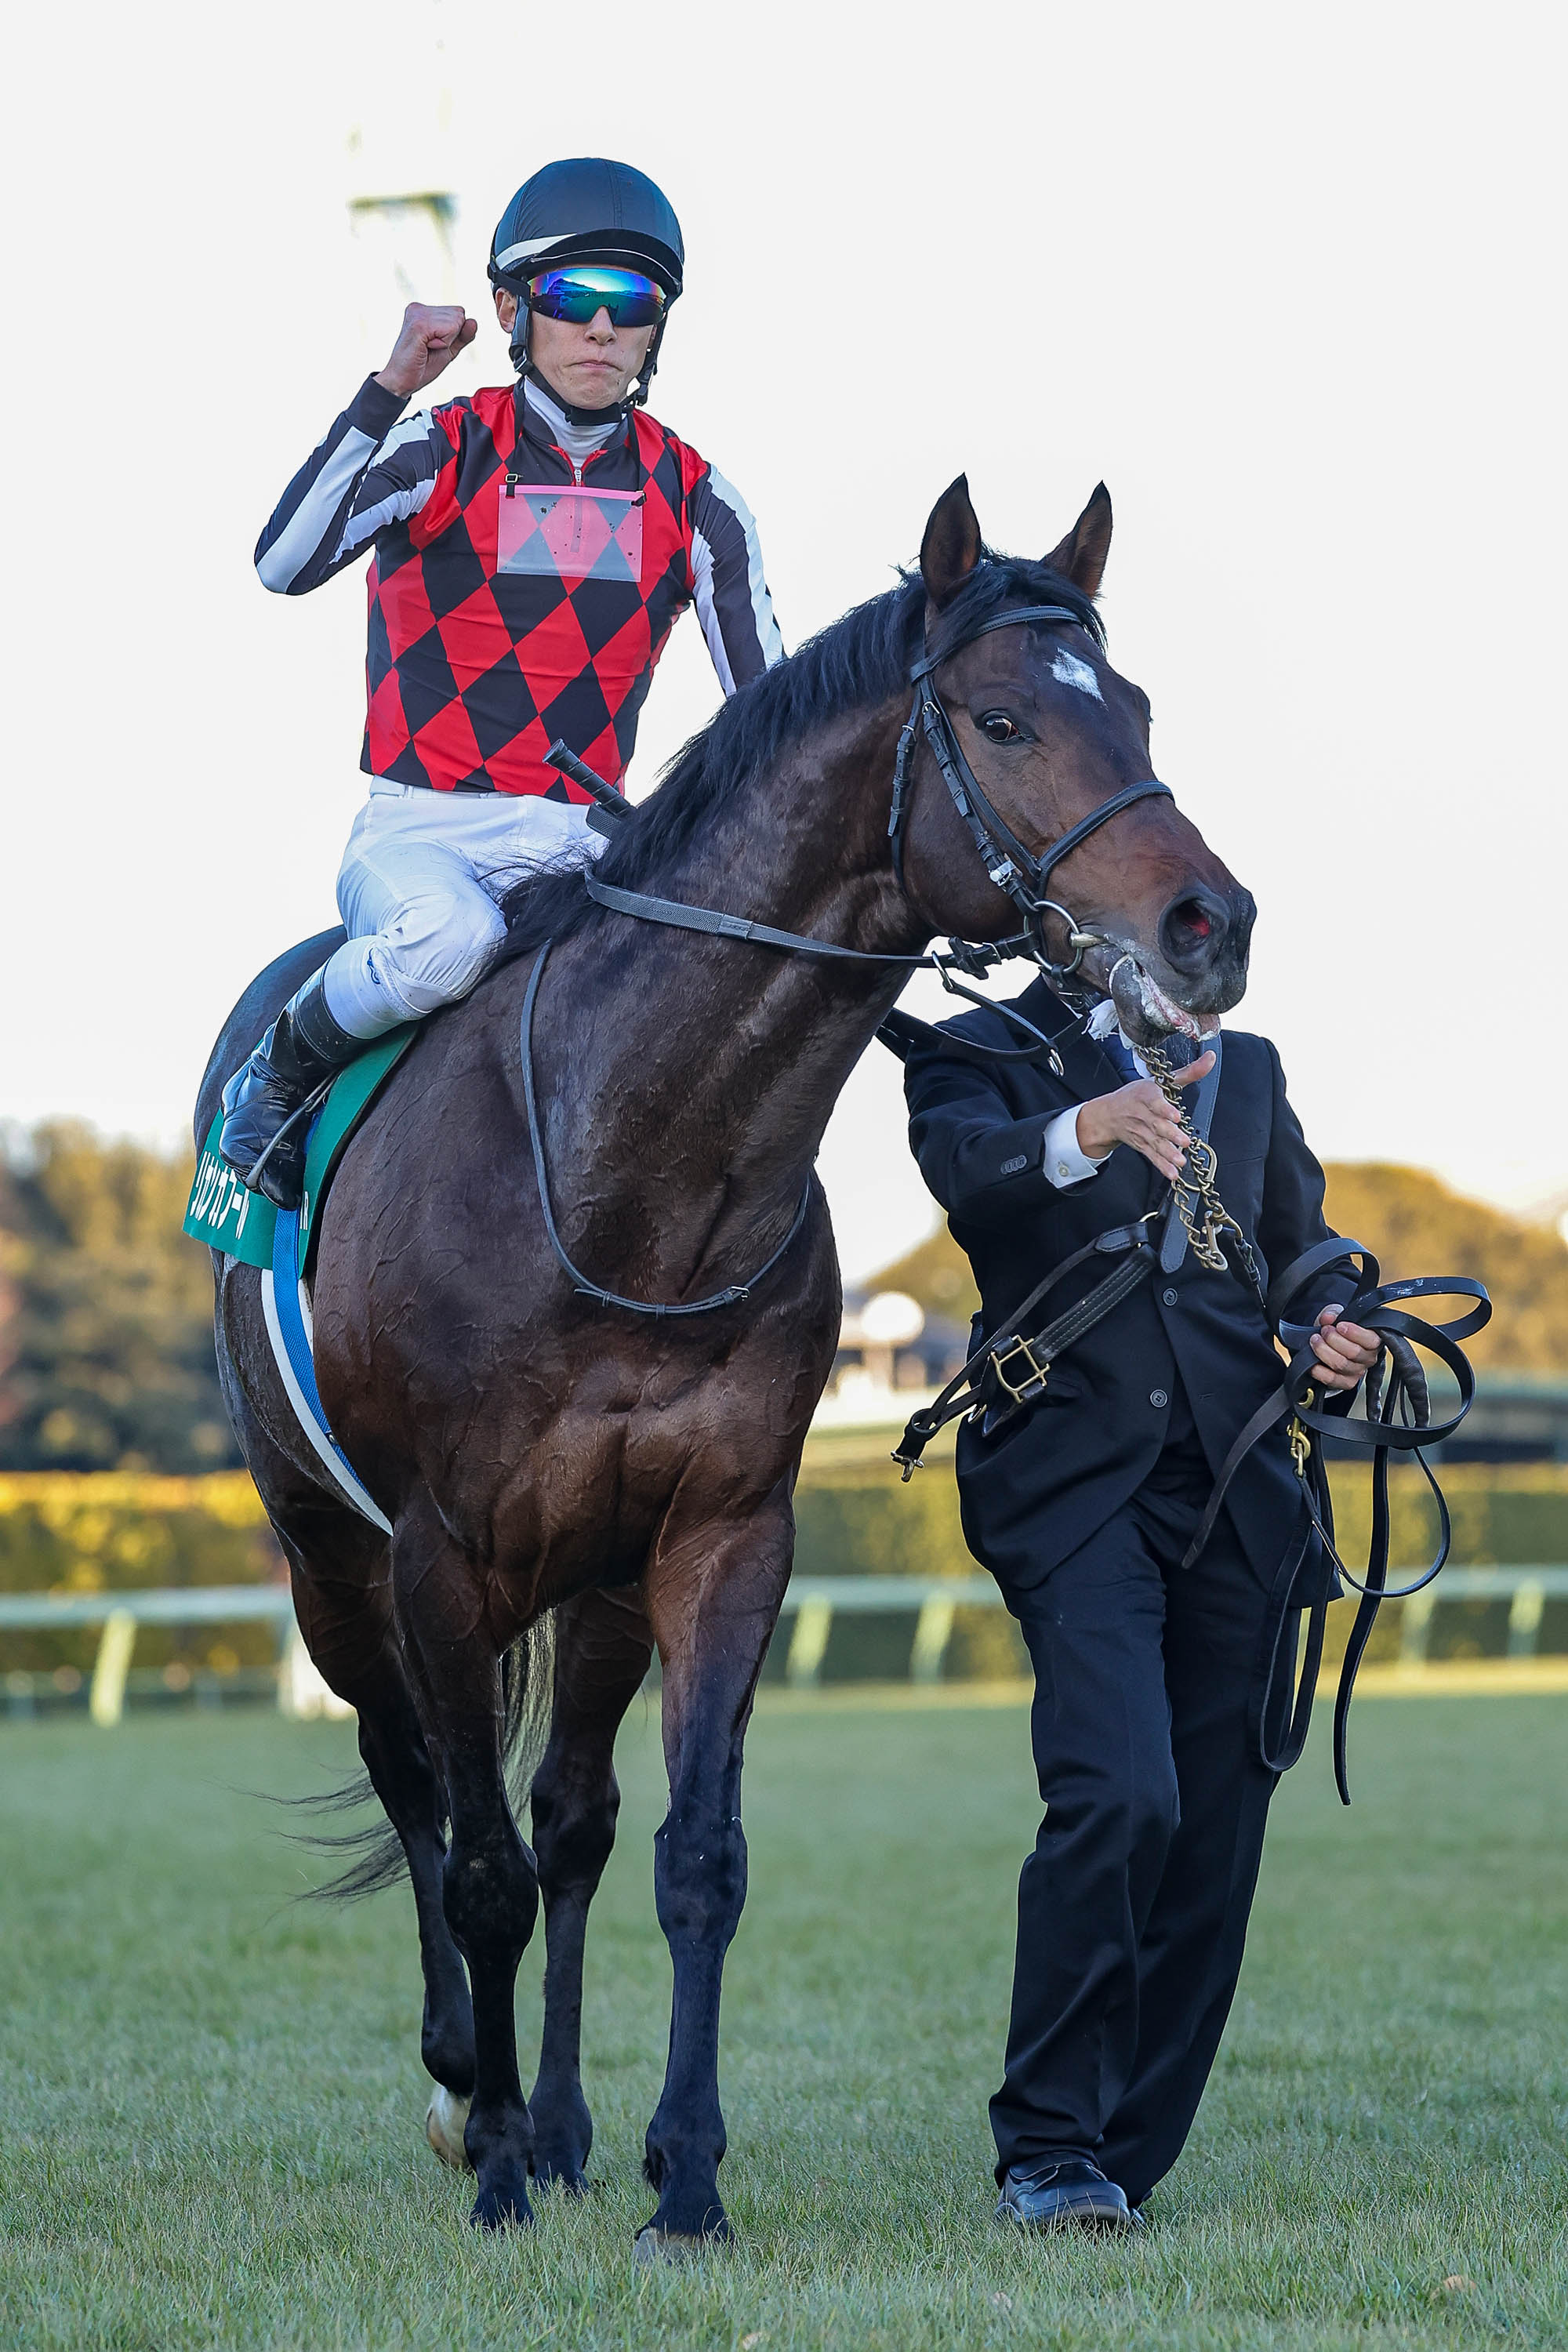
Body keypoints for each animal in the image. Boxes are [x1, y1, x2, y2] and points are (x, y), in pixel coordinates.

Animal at [199, 473, 1250, 2239]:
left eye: (1144, 707)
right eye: (1004, 716)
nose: (1210, 924)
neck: (633, 1179)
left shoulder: (719, 1530)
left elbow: (691, 1856)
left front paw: (677, 2177)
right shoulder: (438, 1555)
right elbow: (472, 1865)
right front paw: (492, 2159)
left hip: (595, 1578)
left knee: (570, 1819)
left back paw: (556, 2123)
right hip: (325, 1553)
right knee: (414, 1787)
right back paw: (467, 2093)